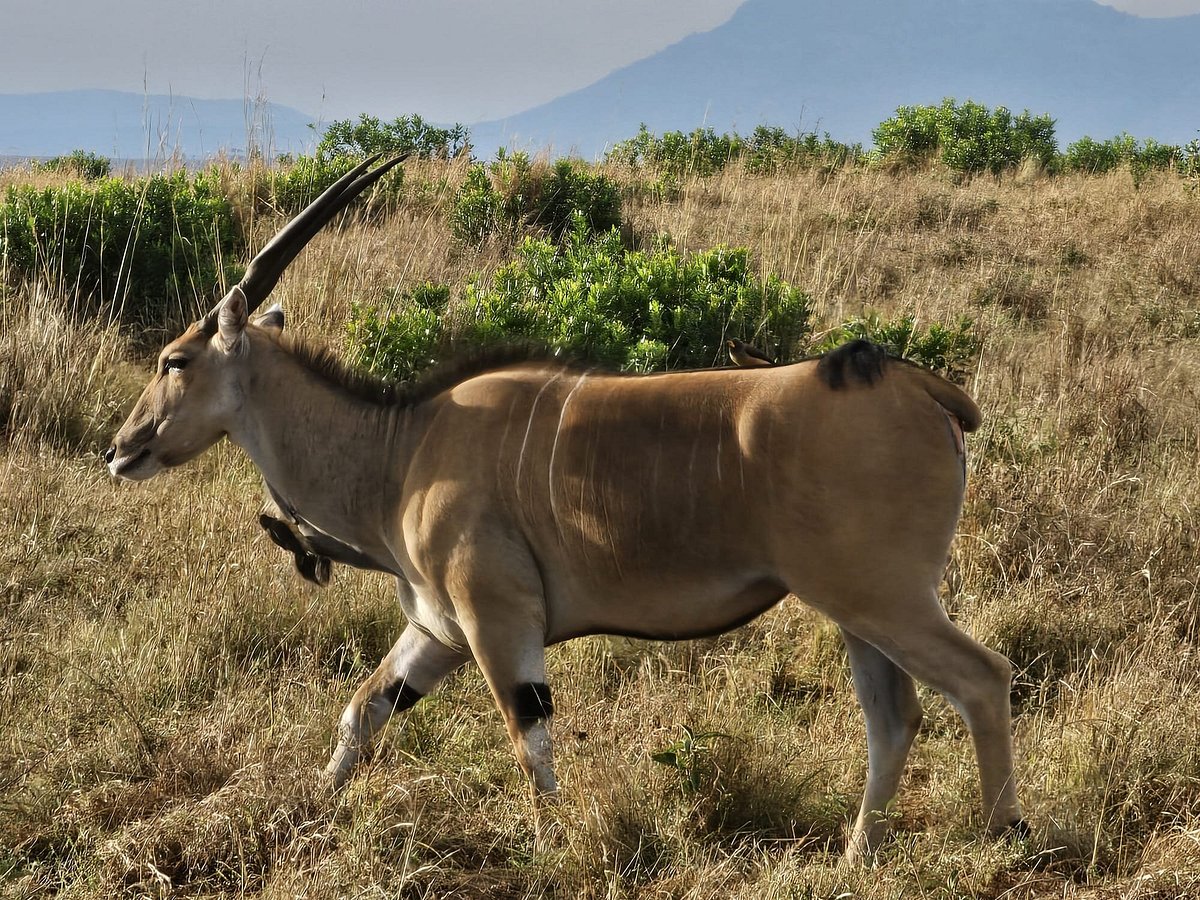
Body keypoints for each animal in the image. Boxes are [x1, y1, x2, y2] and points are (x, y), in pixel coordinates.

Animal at [108, 157, 1022, 868]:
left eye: (174, 360)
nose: (121, 448)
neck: (403, 449)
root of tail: (913, 383)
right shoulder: (436, 630)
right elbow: (362, 710)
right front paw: (312, 809)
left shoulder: (496, 622)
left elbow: (529, 741)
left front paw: (552, 845)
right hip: (855, 612)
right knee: (895, 715)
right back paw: (858, 851)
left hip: (883, 598)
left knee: (982, 677)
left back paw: (1006, 837)